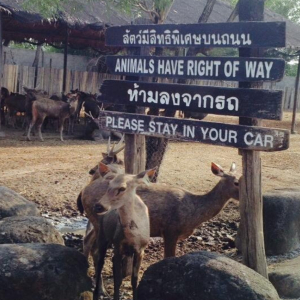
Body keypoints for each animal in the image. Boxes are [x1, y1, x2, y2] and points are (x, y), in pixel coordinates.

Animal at [77, 162, 239, 260]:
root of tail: (83, 190)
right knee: (95, 248)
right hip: (98, 219)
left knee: (87, 240)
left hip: (94, 219)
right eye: (237, 182)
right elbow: (168, 257)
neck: (194, 213)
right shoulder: (170, 230)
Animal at [92, 166, 156, 300]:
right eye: (109, 184)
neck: (134, 237)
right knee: (100, 262)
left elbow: (134, 280)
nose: (98, 206)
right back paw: (97, 294)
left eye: (122, 188)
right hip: (102, 235)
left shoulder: (141, 250)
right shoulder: (118, 246)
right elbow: (117, 281)